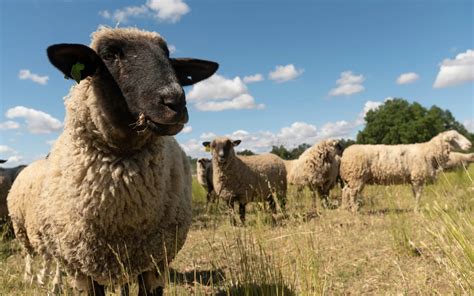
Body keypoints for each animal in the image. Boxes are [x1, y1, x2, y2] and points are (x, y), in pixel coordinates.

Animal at [6, 26, 218, 294]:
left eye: (167, 55)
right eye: (108, 55)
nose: (176, 102)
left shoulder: (155, 261)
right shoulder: (83, 267)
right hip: (27, 229)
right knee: (32, 255)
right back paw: (35, 279)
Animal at [340, 131, 470, 212]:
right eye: (454, 138)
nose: (470, 144)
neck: (429, 151)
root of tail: (345, 154)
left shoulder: (414, 179)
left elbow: (415, 195)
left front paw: (416, 208)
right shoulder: (418, 178)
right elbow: (418, 196)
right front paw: (417, 210)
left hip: (353, 179)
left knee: (345, 191)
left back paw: (346, 208)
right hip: (357, 177)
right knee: (352, 193)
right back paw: (355, 210)